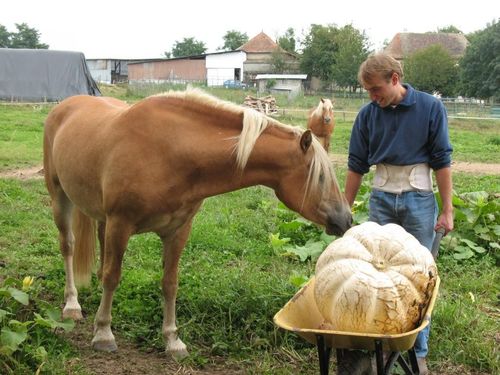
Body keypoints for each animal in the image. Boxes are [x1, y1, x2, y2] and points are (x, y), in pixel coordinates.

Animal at [44, 89, 352, 360]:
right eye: (320, 176)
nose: (346, 219)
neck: (169, 150)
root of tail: (64, 106)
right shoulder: (121, 223)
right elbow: (113, 276)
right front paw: (103, 333)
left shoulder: (178, 231)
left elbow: (169, 283)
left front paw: (172, 340)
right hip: (60, 199)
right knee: (68, 247)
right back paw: (72, 304)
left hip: (101, 218)